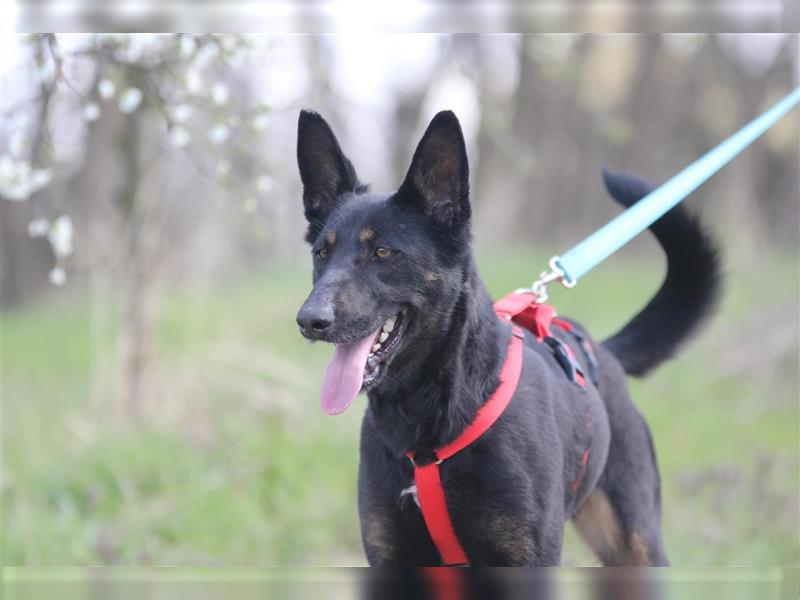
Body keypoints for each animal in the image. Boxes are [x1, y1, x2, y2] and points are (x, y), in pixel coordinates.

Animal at [296, 110, 720, 564]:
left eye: (382, 253)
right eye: (322, 253)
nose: (309, 320)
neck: (427, 422)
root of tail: (602, 352)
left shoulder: (526, 559)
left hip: (635, 545)